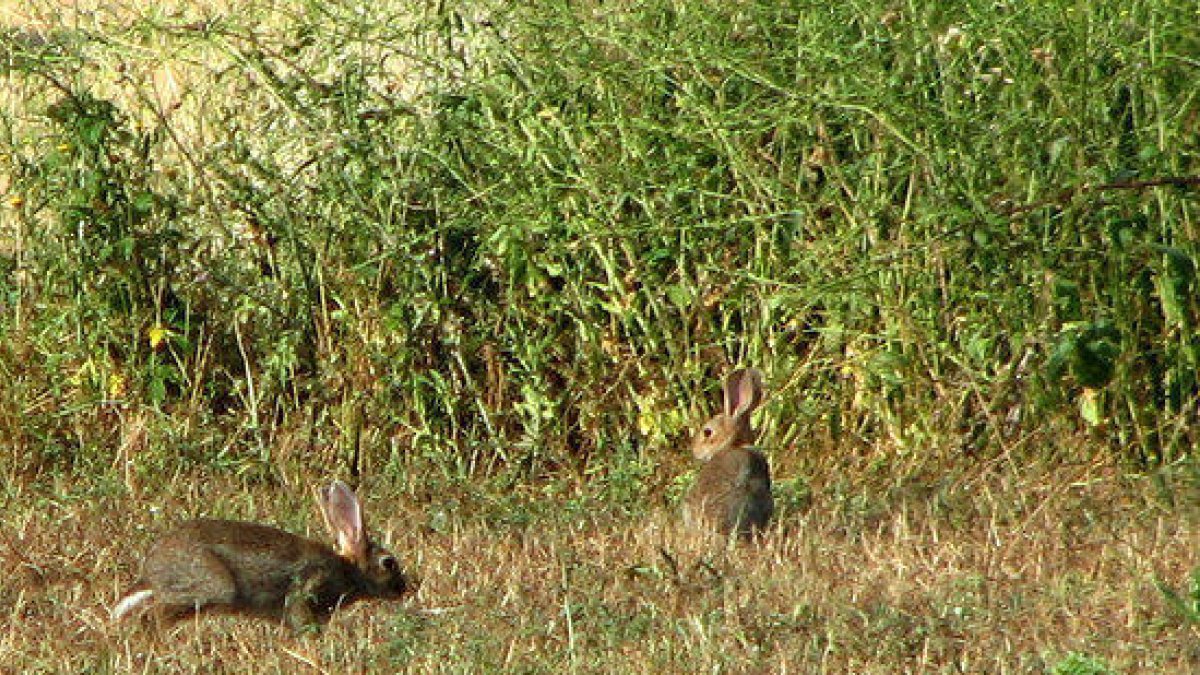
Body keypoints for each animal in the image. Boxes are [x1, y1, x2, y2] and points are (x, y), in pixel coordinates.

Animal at [112, 475, 412, 629]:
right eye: (388, 563)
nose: (404, 588)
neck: (348, 569)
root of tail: (150, 570)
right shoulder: (309, 587)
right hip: (212, 586)